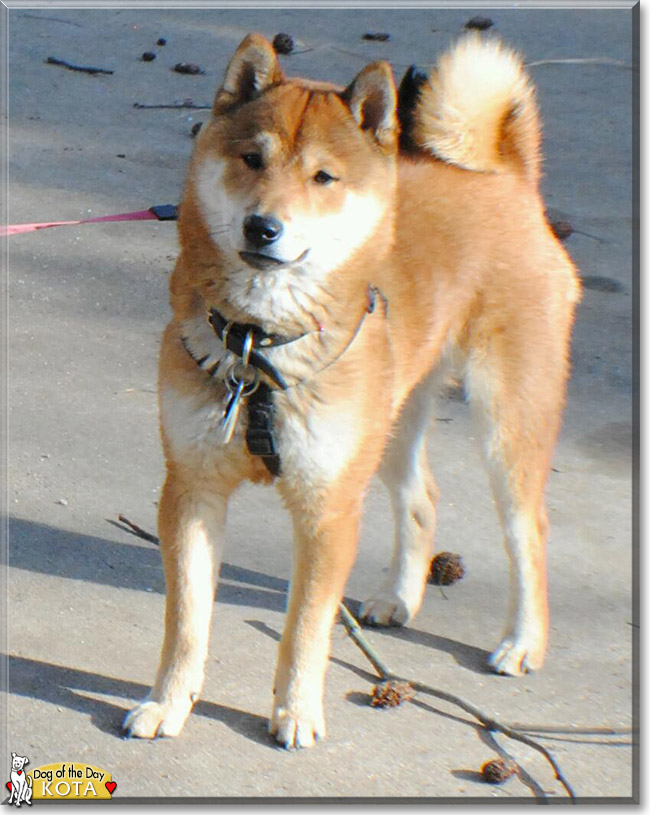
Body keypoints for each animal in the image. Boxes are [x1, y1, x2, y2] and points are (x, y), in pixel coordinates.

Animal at [121, 35, 576, 748]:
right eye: (252, 159)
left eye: (323, 178)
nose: (262, 227)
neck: (259, 349)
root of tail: (505, 176)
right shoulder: (191, 492)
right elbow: (187, 622)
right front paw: (169, 703)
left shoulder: (328, 511)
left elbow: (305, 627)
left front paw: (297, 711)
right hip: (390, 421)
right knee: (421, 496)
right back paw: (399, 598)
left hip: (508, 420)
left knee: (527, 529)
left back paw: (523, 640)